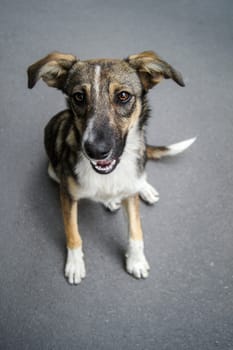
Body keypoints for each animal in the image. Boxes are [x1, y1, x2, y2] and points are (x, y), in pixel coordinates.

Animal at [26, 52, 195, 284]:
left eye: (123, 96)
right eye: (79, 97)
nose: (96, 151)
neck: (110, 174)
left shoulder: (130, 196)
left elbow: (136, 230)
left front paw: (136, 261)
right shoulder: (67, 194)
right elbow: (72, 232)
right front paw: (75, 264)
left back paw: (143, 188)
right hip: (52, 171)